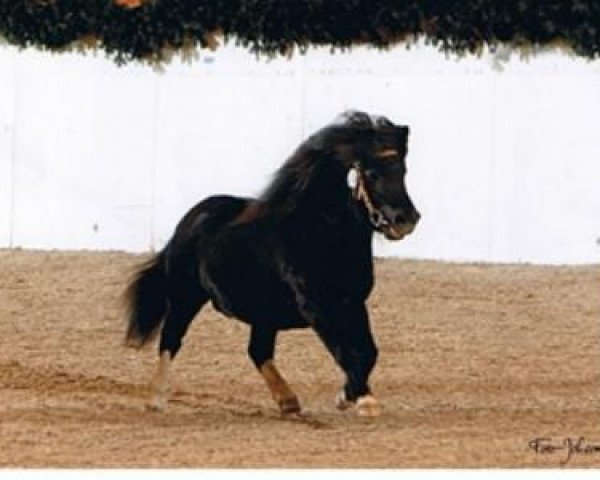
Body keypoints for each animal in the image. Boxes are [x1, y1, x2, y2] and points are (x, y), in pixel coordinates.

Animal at [124, 111, 420, 416]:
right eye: (372, 173)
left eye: (403, 170)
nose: (406, 220)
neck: (319, 234)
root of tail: (191, 218)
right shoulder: (316, 307)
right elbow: (346, 351)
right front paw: (358, 399)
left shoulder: (353, 302)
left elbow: (368, 351)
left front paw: (353, 396)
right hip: (185, 296)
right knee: (171, 339)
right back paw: (155, 398)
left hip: (262, 314)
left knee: (257, 351)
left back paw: (288, 401)